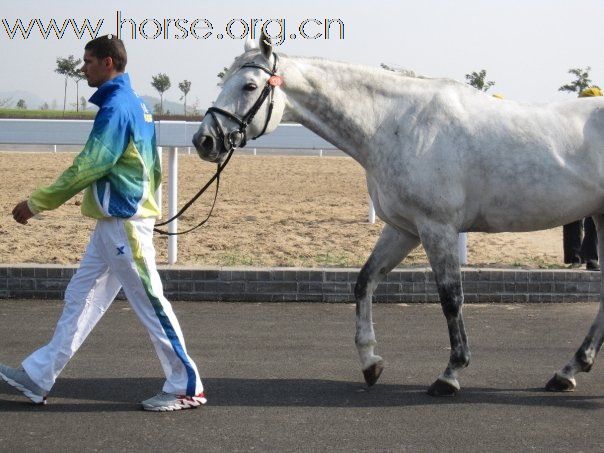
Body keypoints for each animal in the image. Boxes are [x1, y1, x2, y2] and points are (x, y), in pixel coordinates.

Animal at [192, 31, 604, 394]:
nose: (204, 140)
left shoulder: (437, 228)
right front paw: (370, 362)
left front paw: (450, 373)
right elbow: (364, 282)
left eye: (248, 86)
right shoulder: (404, 229)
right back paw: (568, 371)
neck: (397, 124)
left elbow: (450, 297)